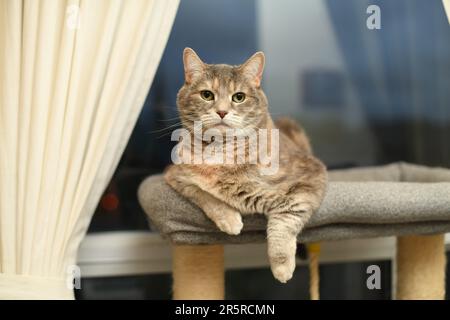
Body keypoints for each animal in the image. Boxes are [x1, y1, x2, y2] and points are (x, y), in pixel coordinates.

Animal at [165, 47, 326, 282]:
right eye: (207, 94)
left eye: (238, 97)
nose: (222, 111)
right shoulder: (173, 174)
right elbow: (201, 192)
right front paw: (229, 218)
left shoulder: (310, 177)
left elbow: (285, 218)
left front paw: (282, 265)